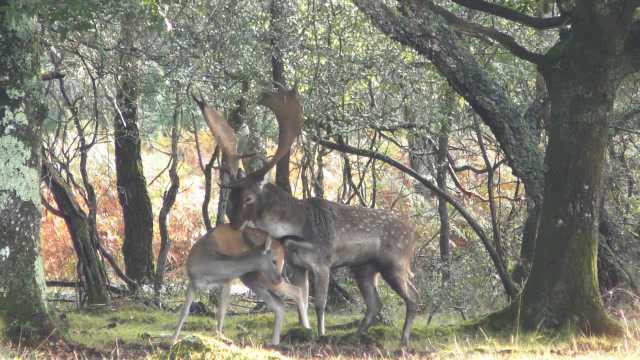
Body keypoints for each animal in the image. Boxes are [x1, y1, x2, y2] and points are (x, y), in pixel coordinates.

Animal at [204, 85, 420, 346]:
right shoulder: (297, 266)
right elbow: (302, 300)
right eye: (231, 197)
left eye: (248, 198)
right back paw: (355, 335)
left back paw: (403, 340)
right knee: (375, 303)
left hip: (395, 262)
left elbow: (320, 303)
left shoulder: (323, 262)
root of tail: (415, 235)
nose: (233, 222)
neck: (295, 230)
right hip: (365, 268)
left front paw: (321, 334)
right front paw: (303, 331)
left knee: (413, 297)